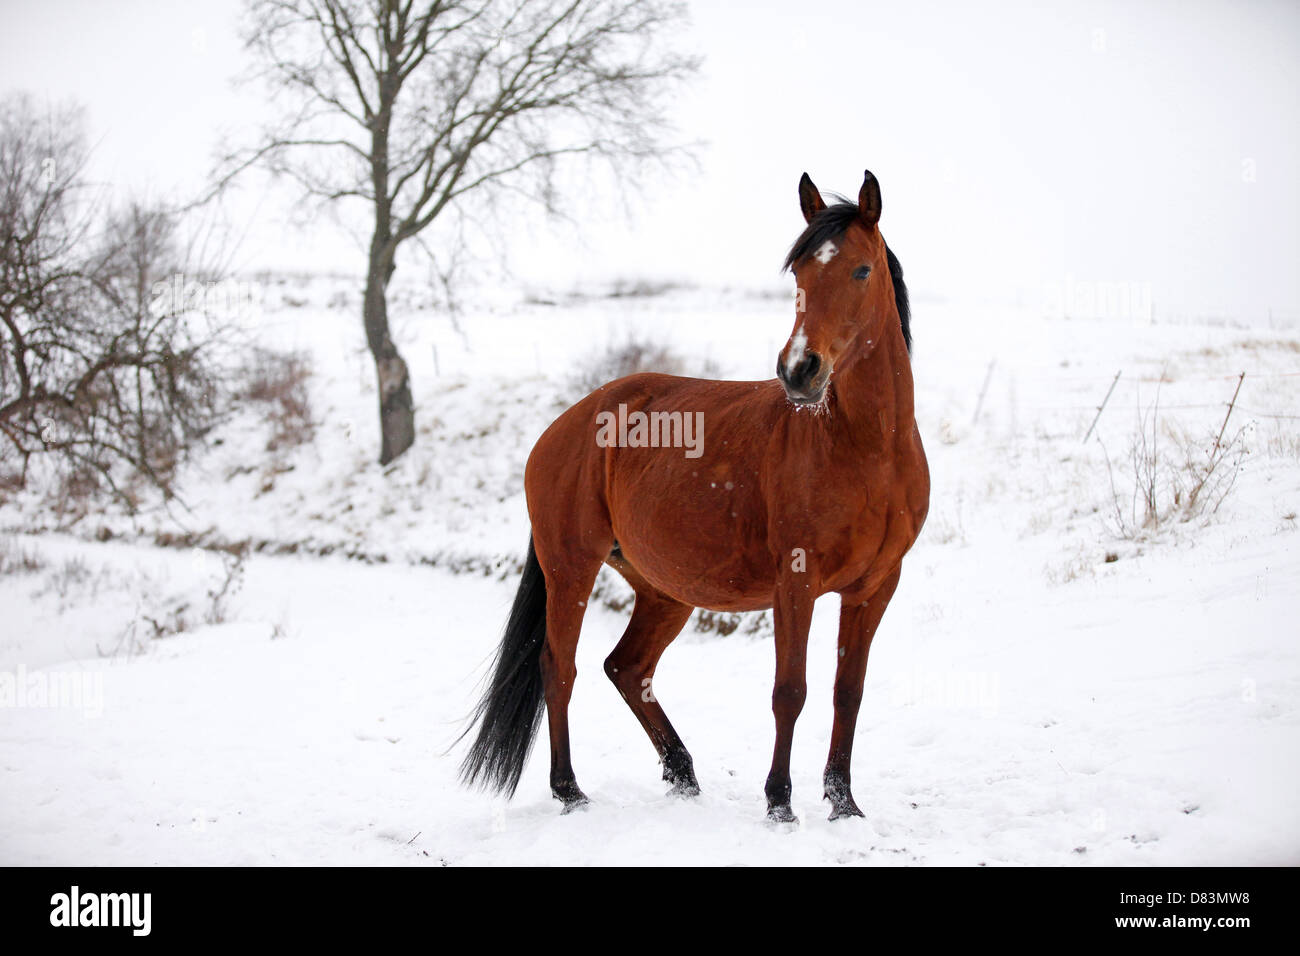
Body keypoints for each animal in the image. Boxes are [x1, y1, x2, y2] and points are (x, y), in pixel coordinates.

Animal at [462, 170, 930, 822]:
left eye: (861, 270)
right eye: (799, 272)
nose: (800, 371)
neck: (866, 449)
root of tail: (565, 426)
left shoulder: (874, 587)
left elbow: (848, 692)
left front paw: (843, 804)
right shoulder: (796, 583)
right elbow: (790, 691)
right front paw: (780, 804)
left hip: (663, 590)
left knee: (626, 668)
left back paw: (682, 773)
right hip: (571, 568)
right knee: (560, 668)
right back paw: (570, 789)